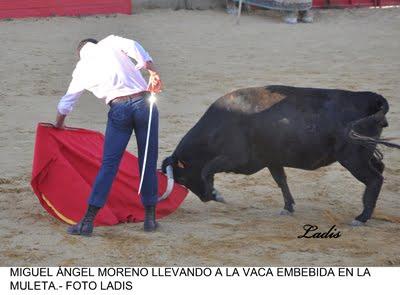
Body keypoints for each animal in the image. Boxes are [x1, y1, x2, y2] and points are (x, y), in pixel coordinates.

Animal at [161, 85, 398, 224]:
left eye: (183, 178)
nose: (204, 198)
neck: (218, 126)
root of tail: (373, 99)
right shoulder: (272, 160)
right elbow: (281, 181)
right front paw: (288, 207)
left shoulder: (237, 159)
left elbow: (207, 169)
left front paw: (216, 194)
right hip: (363, 153)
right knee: (379, 170)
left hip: (353, 158)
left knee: (375, 179)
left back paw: (362, 217)